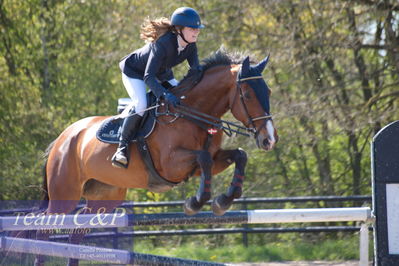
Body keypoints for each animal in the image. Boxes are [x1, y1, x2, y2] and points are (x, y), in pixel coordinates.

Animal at [36, 48, 278, 264]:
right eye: (247, 94)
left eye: (268, 93)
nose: (269, 139)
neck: (193, 113)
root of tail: (62, 138)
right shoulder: (170, 164)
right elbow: (204, 158)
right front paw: (196, 202)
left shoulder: (210, 159)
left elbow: (239, 155)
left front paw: (223, 200)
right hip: (64, 194)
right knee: (43, 229)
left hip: (104, 197)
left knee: (76, 234)